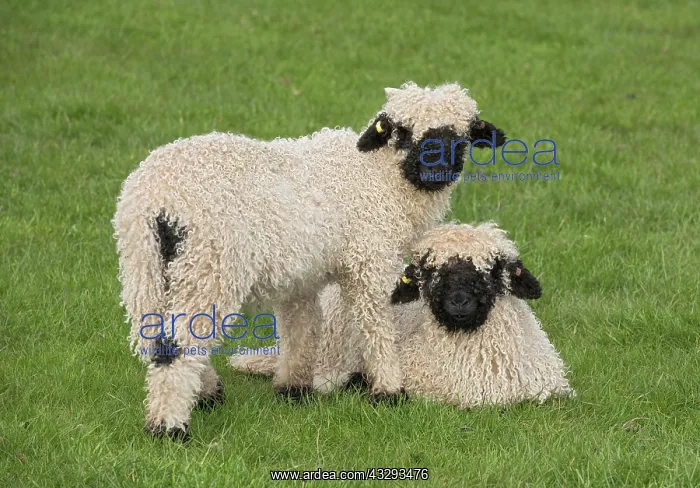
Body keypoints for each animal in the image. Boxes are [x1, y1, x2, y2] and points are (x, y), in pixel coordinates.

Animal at [112, 82, 507, 440]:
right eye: (402, 132)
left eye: (462, 136)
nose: (434, 170)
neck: (380, 177)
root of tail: (158, 200)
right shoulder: (370, 260)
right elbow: (377, 326)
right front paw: (389, 390)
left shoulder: (300, 276)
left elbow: (301, 328)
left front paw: (294, 389)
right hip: (210, 263)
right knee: (176, 344)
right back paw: (169, 426)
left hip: (145, 267)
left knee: (155, 334)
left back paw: (203, 393)